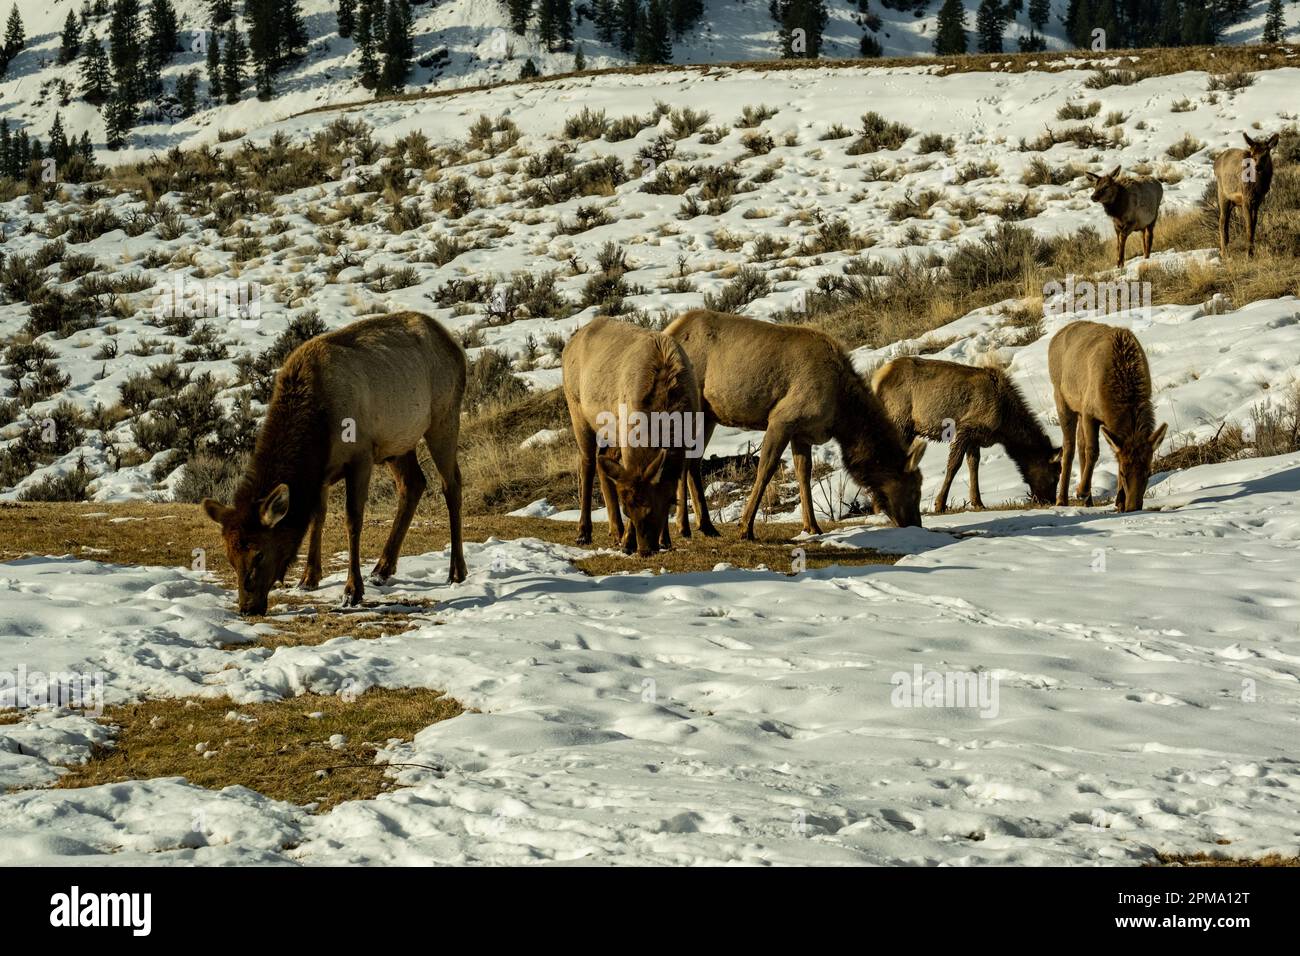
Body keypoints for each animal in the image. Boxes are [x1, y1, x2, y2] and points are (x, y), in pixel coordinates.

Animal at [202, 310, 467, 616]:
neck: (318, 425)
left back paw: (456, 571)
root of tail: (453, 343)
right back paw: (382, 569)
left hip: (444, 417)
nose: (247, 607)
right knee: (413, 483)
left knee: (451, 484)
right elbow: (318, 515)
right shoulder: (322, 471)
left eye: (259, 553)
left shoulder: (361, 455)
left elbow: (353, 519)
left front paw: (352, 591)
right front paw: (309, 578)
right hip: (398, 441)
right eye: (230, 557)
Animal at [561, 316, 717, 554]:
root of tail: (569, 343)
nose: (645, 549)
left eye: (663, 505)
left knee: (602, 460)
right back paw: (584, 532)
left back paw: (615, 531)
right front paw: (629, 541)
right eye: (628, 510)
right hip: (577, 408)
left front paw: (665, 540)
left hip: (611, 430)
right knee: (586, 463)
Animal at [665, 308, 930, 538]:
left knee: (693, 460)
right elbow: (766, 469)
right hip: (690, 405)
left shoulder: (802, 433)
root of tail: (670, 330)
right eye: (914, 489)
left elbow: (804, 474)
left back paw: (706, 525)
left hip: (709, 414)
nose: (916, 525)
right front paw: (745, 527)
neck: (842, 416)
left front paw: (811, 527)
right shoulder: (782, 419)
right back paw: (684, 526)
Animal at [868, 356, 1060, 512]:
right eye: (1054, 476)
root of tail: (876, 378)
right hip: (900, 422)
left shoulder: (975, 438)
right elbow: (954, 465)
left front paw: (978, 502)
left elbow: (973, 464)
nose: (1050, 500)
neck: (1005, 426)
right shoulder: (965, 428)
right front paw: (940, 504)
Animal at [1045, 321, 1170, 512]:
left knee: (1080, 445)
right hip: (1062, 398)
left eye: (1148, 472)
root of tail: (1055, 337)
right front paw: (1081, 491)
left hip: (1078, 409)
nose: (1133, 507)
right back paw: (1063, 500)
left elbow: (1108, 453)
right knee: (1069, 447)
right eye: (1123, 473)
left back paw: (1088, 501)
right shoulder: (1089, 411)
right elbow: (1093, 451)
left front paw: (1119, 501)